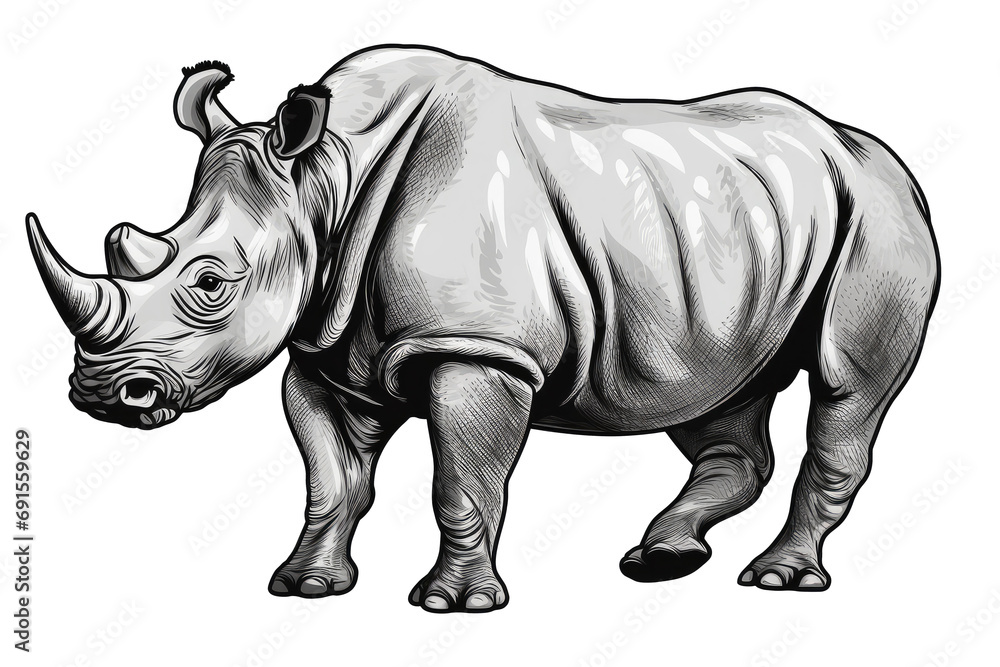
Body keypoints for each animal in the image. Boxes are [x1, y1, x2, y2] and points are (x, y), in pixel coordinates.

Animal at [27, 45, 939, 612]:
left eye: (210, 283)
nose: (102, 394)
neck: (324, 179)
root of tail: (880, 153)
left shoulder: (479, 349)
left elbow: (463, 478)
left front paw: (452, 603)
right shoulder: (327, 349)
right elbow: (332, 479)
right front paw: (305, 587)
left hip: (877, 216)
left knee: (846, 386)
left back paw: (780, 578)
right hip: (737, 241)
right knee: (721, 392)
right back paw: (660, 559)